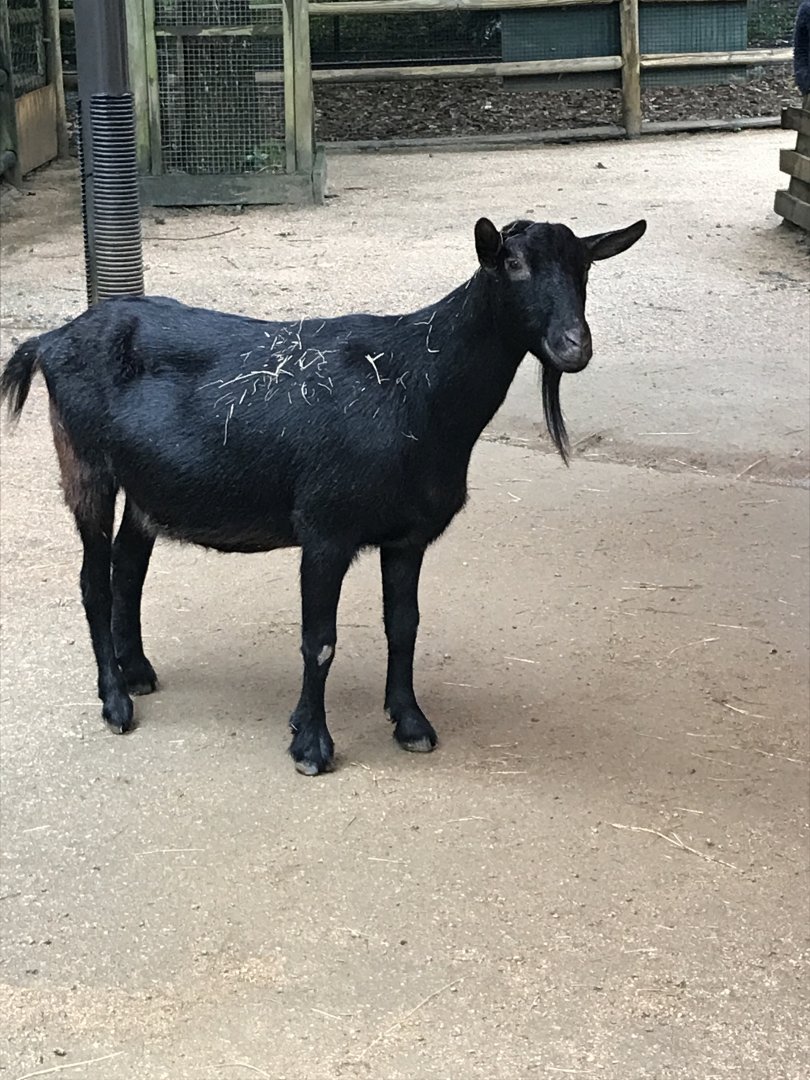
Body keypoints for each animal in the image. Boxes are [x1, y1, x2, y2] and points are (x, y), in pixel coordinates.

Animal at [1, 215, 645, 775]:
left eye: (585, 266)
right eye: (512, 263)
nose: (573, 346)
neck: (418, 387)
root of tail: (50, 340)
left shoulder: (408, 536)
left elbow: (404, 624)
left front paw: (410, 722)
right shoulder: (325, 529)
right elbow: (320, 641)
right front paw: (311, 744)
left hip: (147, 485)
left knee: (128, 566)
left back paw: (136, 670)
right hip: (85, 464)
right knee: (94, 579)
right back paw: (115, 701)